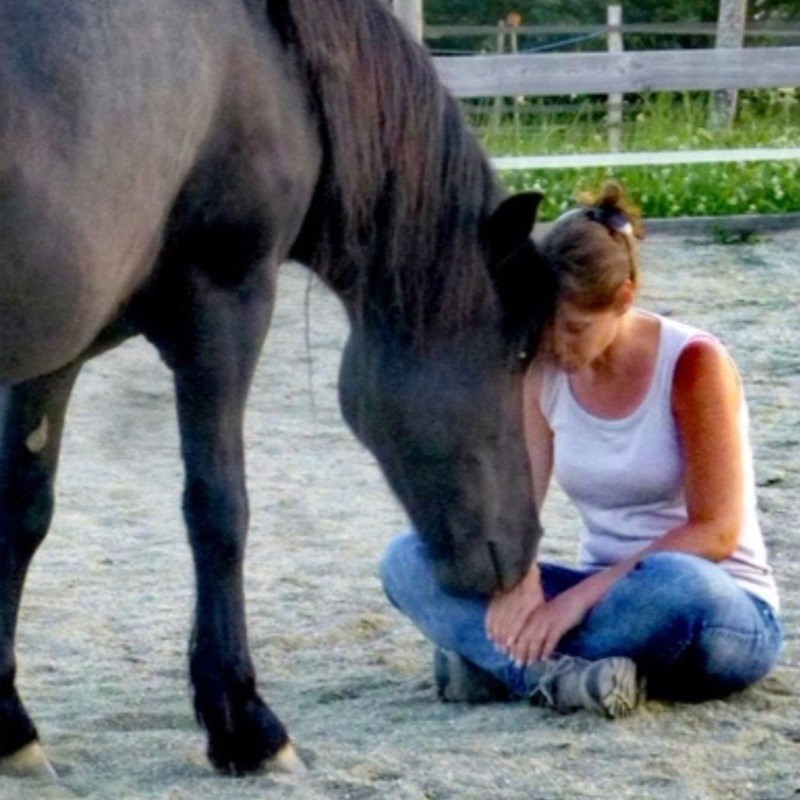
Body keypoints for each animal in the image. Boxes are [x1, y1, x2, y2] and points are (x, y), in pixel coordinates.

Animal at [0, 0, 552, 780]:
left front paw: (9, 725)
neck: (272, 51)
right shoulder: (226, 304)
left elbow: (22, 511)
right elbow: (219, 511)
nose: (523, 548)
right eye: (522, 349)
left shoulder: (56, 349)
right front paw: (246, 724)